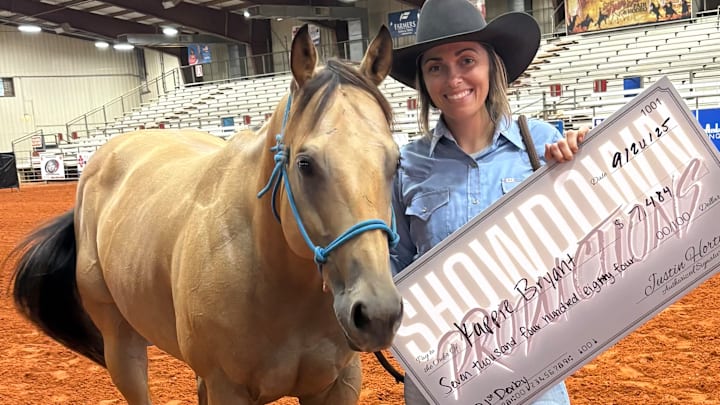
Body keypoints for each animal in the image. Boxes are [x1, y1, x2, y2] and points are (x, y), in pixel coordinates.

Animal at [10, 24, 403, 405]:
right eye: (305, 164)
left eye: (396, 161)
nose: (377, 313)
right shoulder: (226, 388)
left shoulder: (338, 384)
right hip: (121, 346)